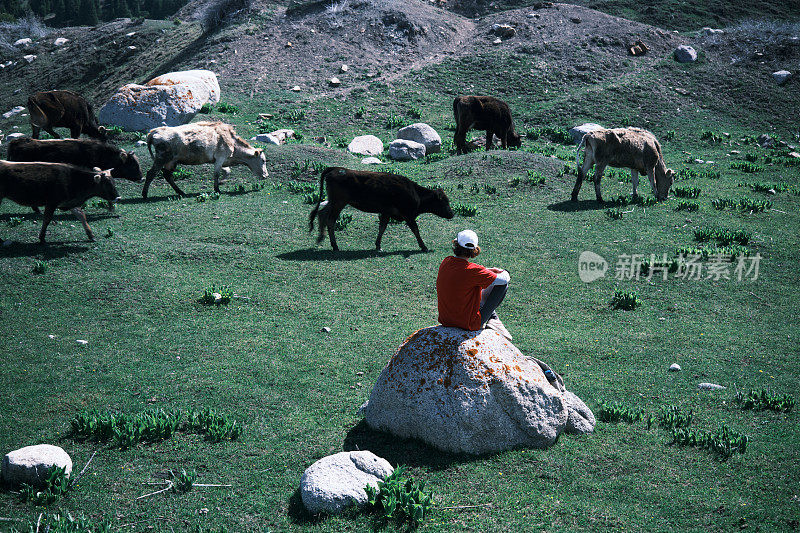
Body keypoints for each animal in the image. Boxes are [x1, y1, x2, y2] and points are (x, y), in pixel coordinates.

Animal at [310, 166, 454, 251]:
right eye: (444, 202)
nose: (452, 214)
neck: (415, 192)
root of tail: (337, 169)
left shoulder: (386, 212)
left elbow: (382, 227)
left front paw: (378, 245)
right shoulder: (407, 214)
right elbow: (415, 229)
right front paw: (423, 246)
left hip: (334, 202)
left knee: (321, 214)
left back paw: (321, 238)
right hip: (339, 203)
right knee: (330, 220)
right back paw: (335, 246)